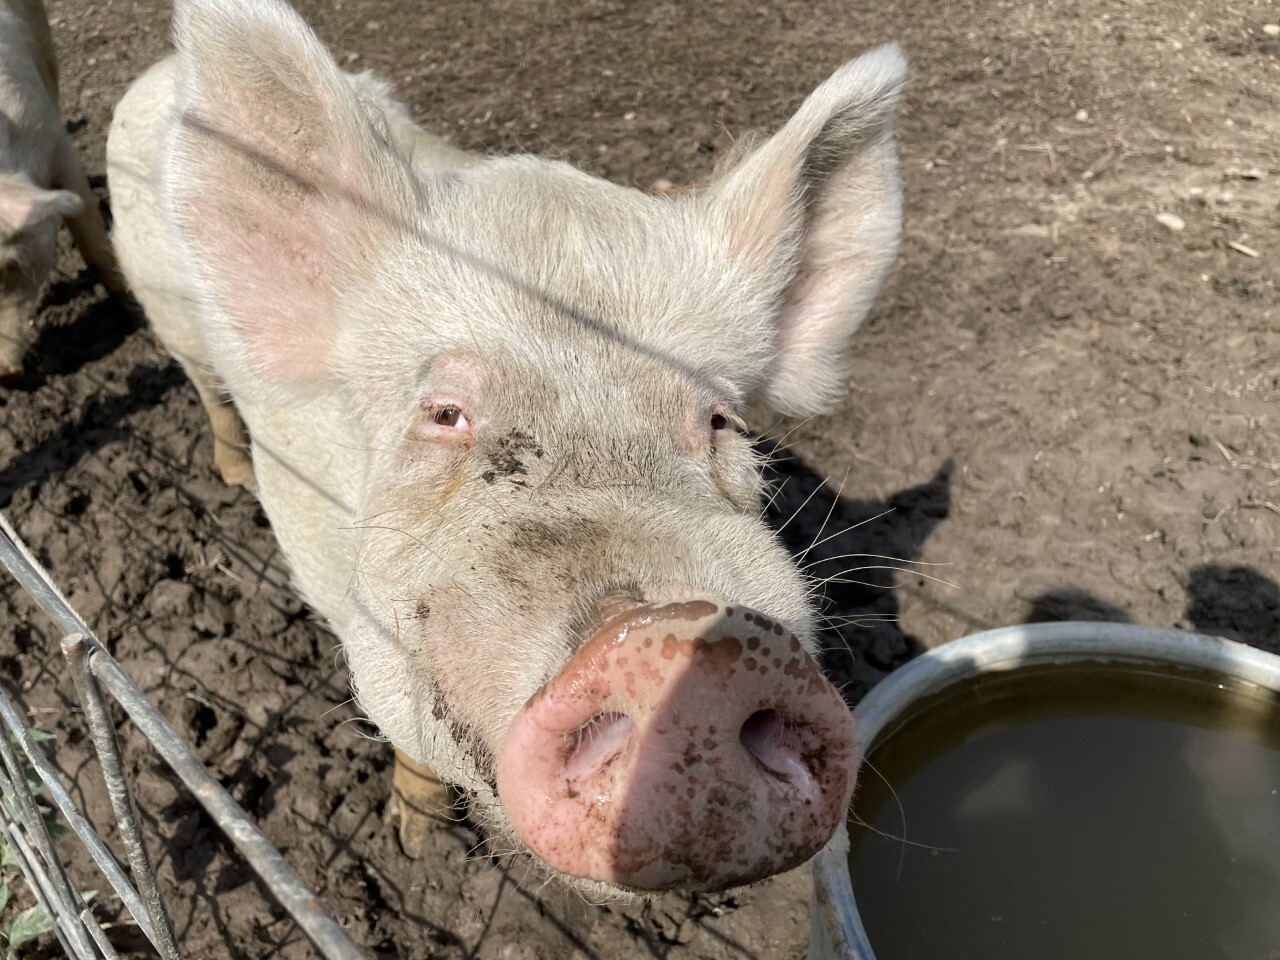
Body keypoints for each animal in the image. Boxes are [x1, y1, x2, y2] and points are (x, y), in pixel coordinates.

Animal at [107, 0, 905, 895]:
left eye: (719, 422)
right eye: (446, 412)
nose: (684, 639)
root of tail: (154, 74)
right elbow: (410, 747)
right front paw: (418, 844)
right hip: (168, 310)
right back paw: (234, 477)